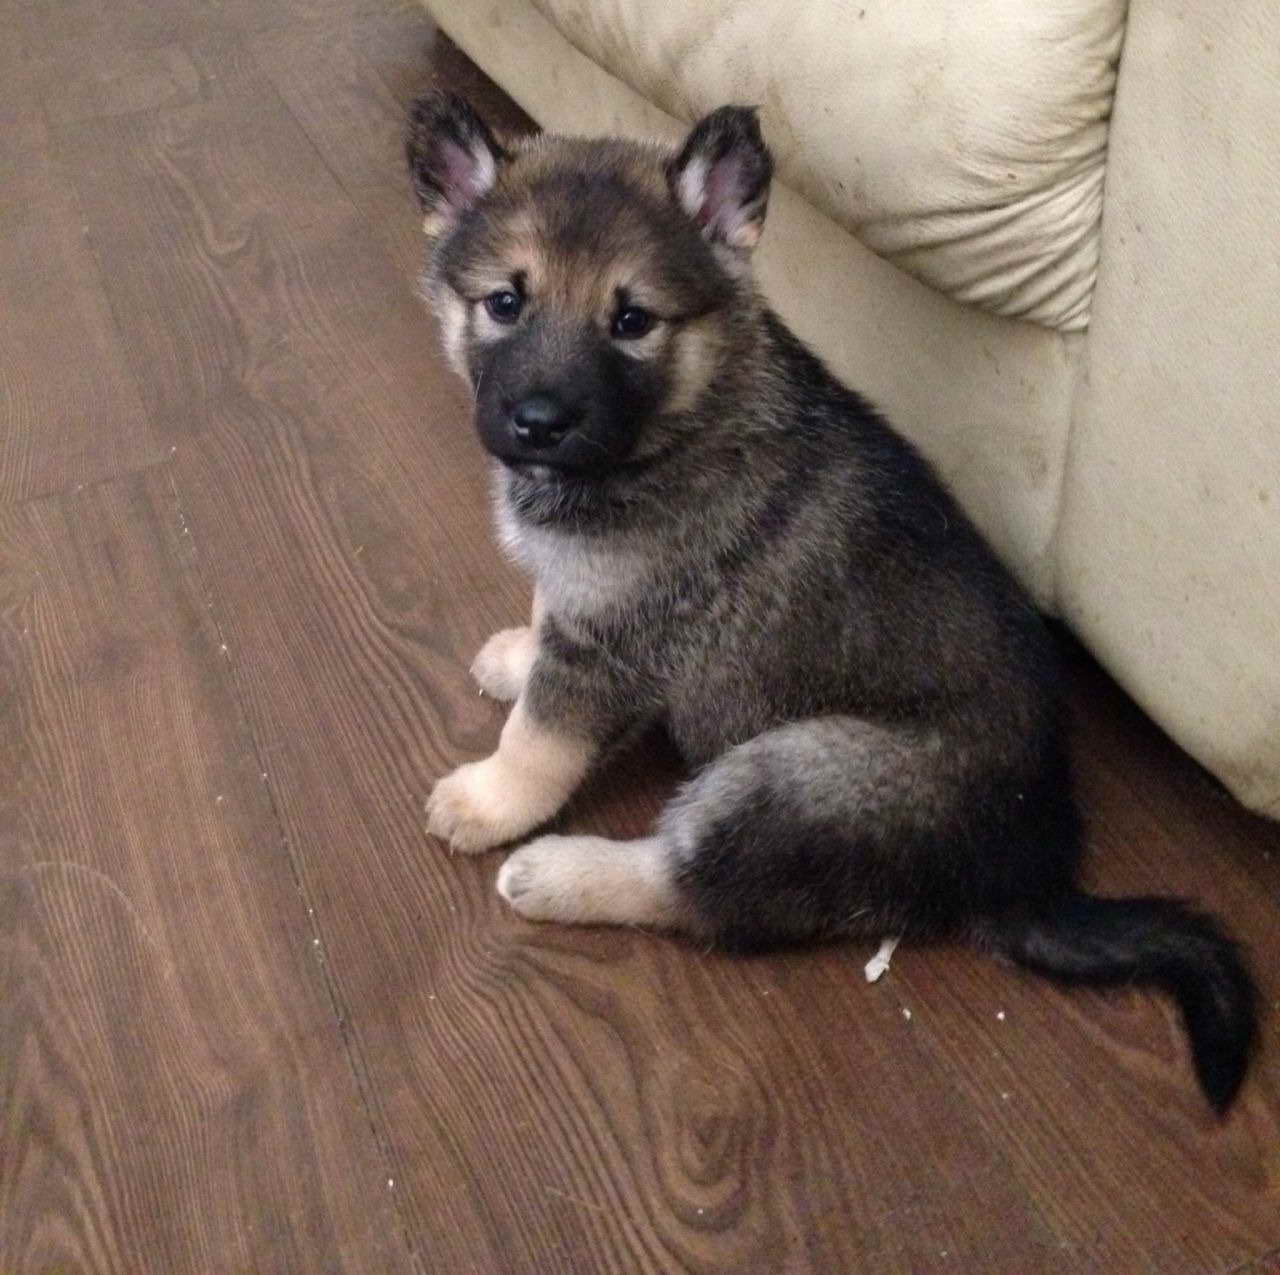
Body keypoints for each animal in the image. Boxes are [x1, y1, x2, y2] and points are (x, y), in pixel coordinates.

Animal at [406, 93, 1257, 1111]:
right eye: (505, 302)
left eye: (632, 321)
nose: (538, 423)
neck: (681, 418)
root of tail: (1019, 873)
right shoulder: (587, 598)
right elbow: (545, 622)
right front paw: (513, 656)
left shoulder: (615, 644)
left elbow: (540, 740)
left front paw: (489, 801)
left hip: (795, 778)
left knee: (700, 890)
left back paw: (560, 872)